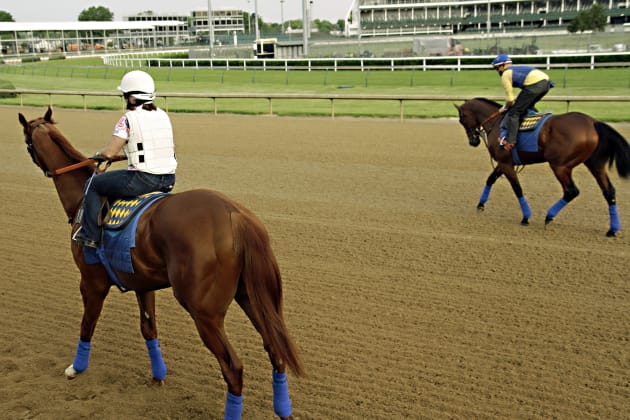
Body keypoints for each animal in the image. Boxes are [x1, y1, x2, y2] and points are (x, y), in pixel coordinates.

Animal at [18, 106, 304, 418]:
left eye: (27, 142)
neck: (82, 197)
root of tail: (235, 215)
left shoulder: (91, 283)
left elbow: (87, 324)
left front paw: (76, 368)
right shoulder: (143, 285)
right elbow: (148, 328)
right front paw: (158, 376)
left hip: (204, 312)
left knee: (233, 367)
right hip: (253, 298)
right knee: (275, 351)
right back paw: (284, 409)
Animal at [460, 98, 630, 236]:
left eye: (462, 119)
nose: (473, 141)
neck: (498, 124)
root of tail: (593, 122)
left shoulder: (506, 163)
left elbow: (517, 188)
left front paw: (526, 217)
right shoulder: (505, 163)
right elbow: (491, 179)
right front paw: (480, 205)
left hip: (560, 166)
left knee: (571, 191)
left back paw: (549, 216)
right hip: (594, 164)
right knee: (608, 191)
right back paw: (613, 229)